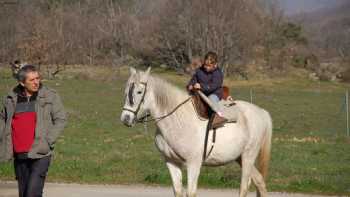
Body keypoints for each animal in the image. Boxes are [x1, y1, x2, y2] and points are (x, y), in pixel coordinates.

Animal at [120, 67, 274, 197]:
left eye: (139, 92)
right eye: (126, 91)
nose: (125, 119)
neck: (178, 120)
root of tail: (261, 112)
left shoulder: (193, 163)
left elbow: (191, 193)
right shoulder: (171, 162)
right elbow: (178, 191)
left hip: (249, 156)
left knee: (244, 187)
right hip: (240, 157)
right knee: (259, 181)